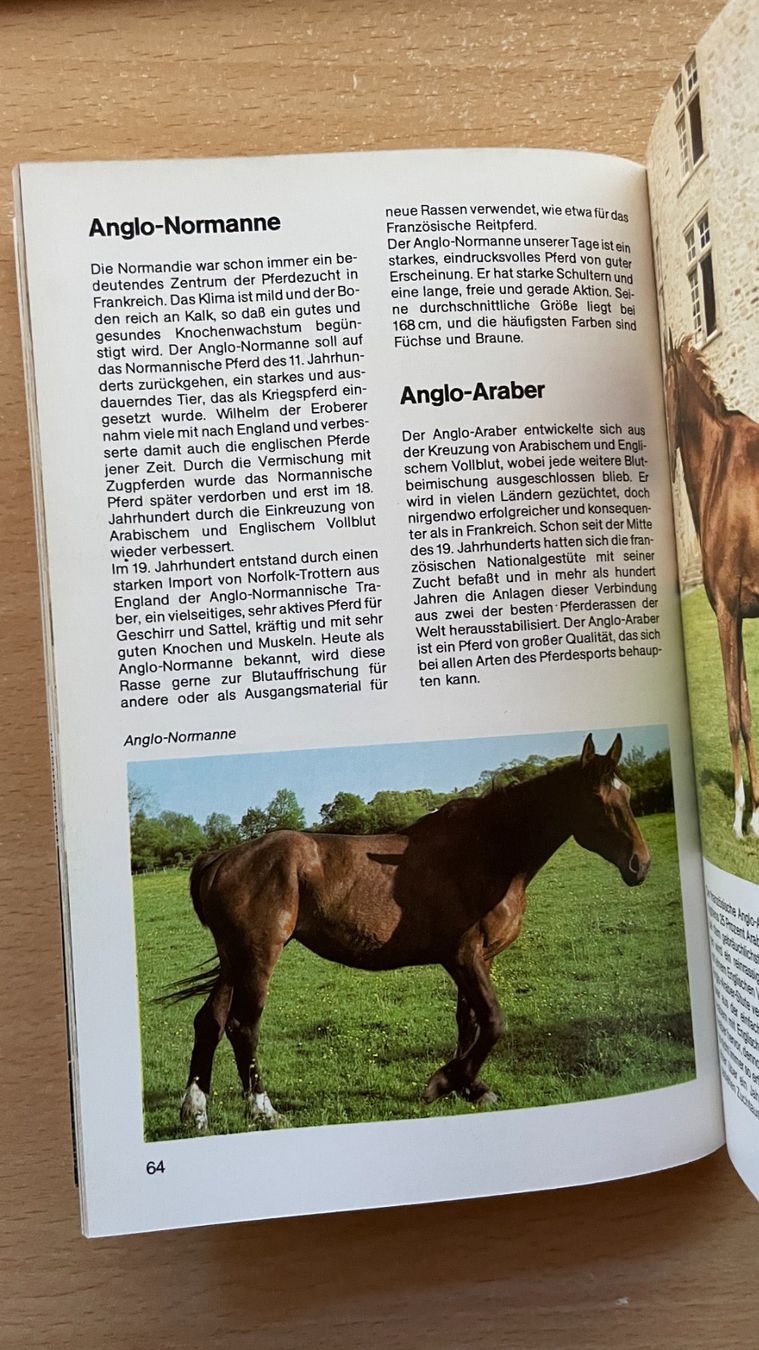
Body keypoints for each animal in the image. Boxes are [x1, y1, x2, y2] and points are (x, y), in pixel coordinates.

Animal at [169, 734, 650, 1131]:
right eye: (597, 797)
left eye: (626, 794)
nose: (640, 865)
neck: (488, 851)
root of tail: (222, 858)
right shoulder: (463, 957)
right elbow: (493, 1022)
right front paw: (443, 1082)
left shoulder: (478, 959)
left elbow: (469, 1023)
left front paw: (471, 1088)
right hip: (258, 957)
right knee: (242, 1026)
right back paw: (263, 1109)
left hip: (234, 959)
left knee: (209, 1022)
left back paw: (195, 1111)